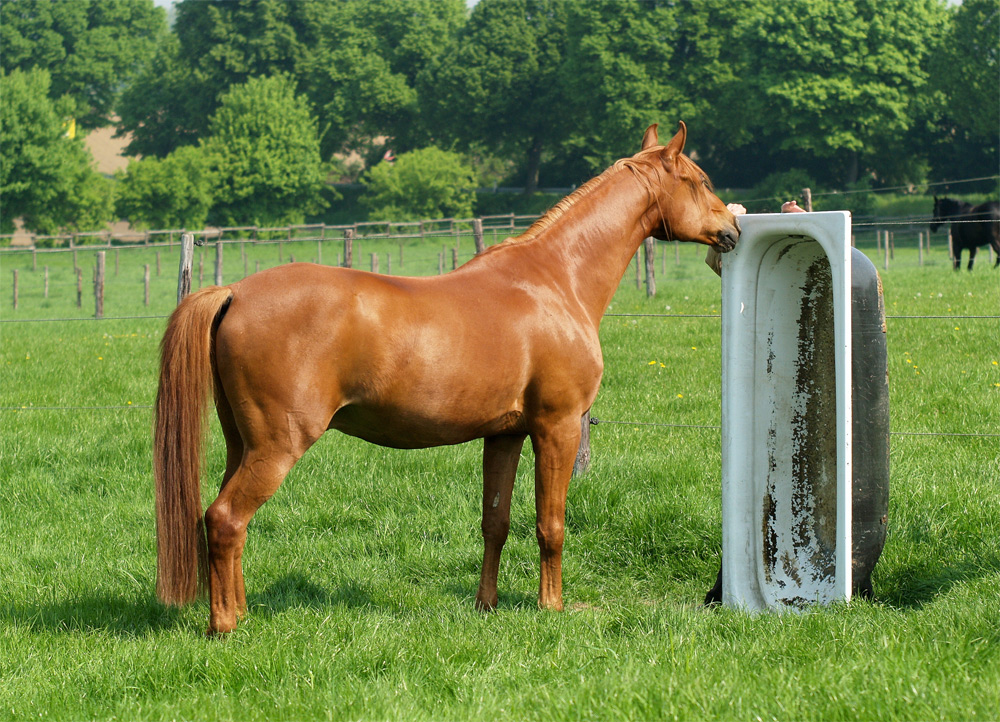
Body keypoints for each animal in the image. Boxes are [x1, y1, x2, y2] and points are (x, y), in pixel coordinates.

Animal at [152, 121, 740, 632]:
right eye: (699, 180)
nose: (732, 228)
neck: (554, 281)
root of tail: (234, 291)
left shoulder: (505, 435)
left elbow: (495, 522)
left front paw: (487, 605)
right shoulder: (557, 428)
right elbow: (550, 524)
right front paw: (551, 607)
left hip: (243, 444)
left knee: (223, 521)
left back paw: (240, 610)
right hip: (278, 445)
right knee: (225, 519)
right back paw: (225, 626)